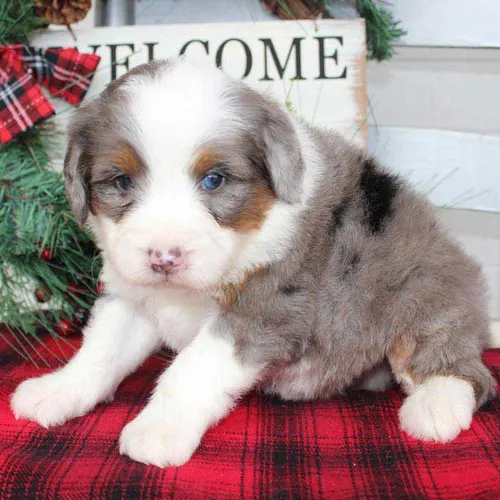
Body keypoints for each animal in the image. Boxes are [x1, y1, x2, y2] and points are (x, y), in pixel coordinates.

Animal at [9, 58, 494, 468]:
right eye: (121, 181)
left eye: (214, 180)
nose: (164, 257)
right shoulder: (132, 297)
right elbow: (100, 351)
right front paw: (58, 390)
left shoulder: (264, 312)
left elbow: (191, 370)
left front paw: (158, 430)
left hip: (420, 290)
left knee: (466, 369)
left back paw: (434, 407)